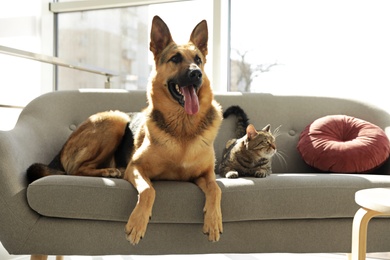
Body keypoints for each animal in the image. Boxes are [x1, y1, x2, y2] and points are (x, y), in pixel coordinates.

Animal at [26, 15, 222, 248]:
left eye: (198, 59)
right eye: (175, 58)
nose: (196, 73)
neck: (182, 128)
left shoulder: (206, 175)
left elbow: (216, 189)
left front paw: (214, 220)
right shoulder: (136, 167)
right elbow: (148, 190)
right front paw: (137, 223)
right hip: (116, 120)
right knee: (75, 169)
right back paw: (109, 171)